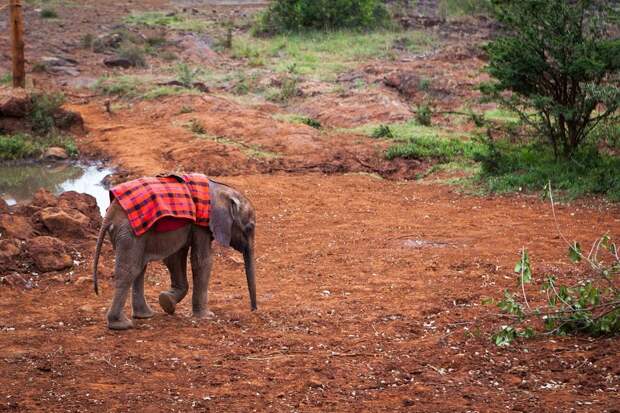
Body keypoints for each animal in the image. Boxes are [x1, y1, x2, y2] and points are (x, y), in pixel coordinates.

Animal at [92, 175, 256, 330]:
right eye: (249, 228)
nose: (254, 310)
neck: (222, 190)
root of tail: (109, 214)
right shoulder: (201, 222)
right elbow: (202, 261)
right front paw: (207, 316)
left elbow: (175, 258)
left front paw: (167, 302)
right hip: (129, 233)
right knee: (129, 270)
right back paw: (121, 325)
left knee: (139, 268)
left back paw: (144, 315)